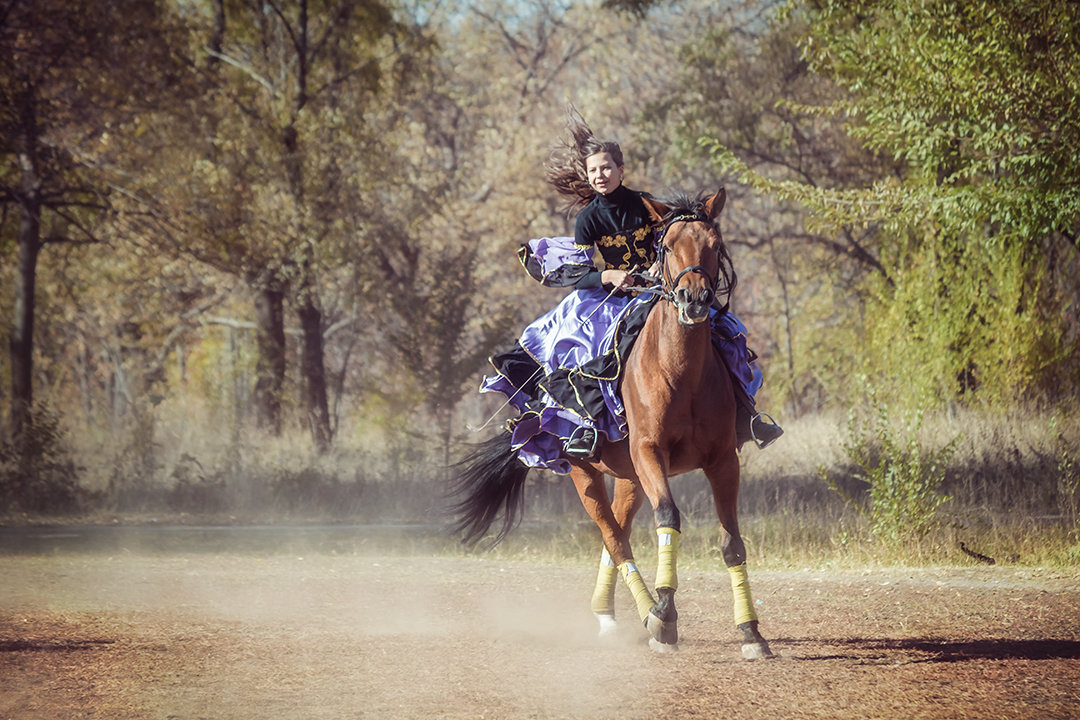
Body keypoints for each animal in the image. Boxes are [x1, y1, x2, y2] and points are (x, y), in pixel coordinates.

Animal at [451, 188, 773, 660]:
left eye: (714, 245)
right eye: (668, 246)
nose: (694, 300)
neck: (681, 373)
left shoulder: (721, 460)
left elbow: (732, 542)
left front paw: (751, 632)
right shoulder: (649, 452)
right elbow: (668, 517)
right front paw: (665, 615)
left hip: (628, 476)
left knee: (617, 533)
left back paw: (609, 614)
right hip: (586, 473)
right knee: (614, 538)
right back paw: (646, 615)